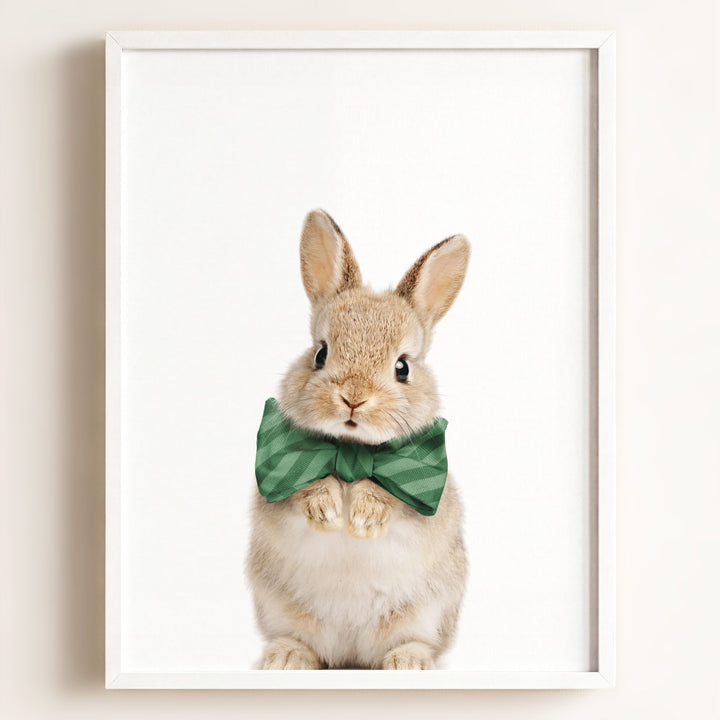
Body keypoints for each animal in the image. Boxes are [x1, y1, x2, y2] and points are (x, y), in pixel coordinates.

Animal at [246, 209, 470, 670]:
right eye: (320, 353)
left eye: (403, 367)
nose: (353, 398)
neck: (350, 451)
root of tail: (351, 654)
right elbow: (304, 487)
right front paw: (329, 513)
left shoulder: (423, 493)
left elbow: (393, 498)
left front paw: (363, 519)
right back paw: (285, 658)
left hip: (426, 613)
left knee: (413, 642)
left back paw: (409, 663)